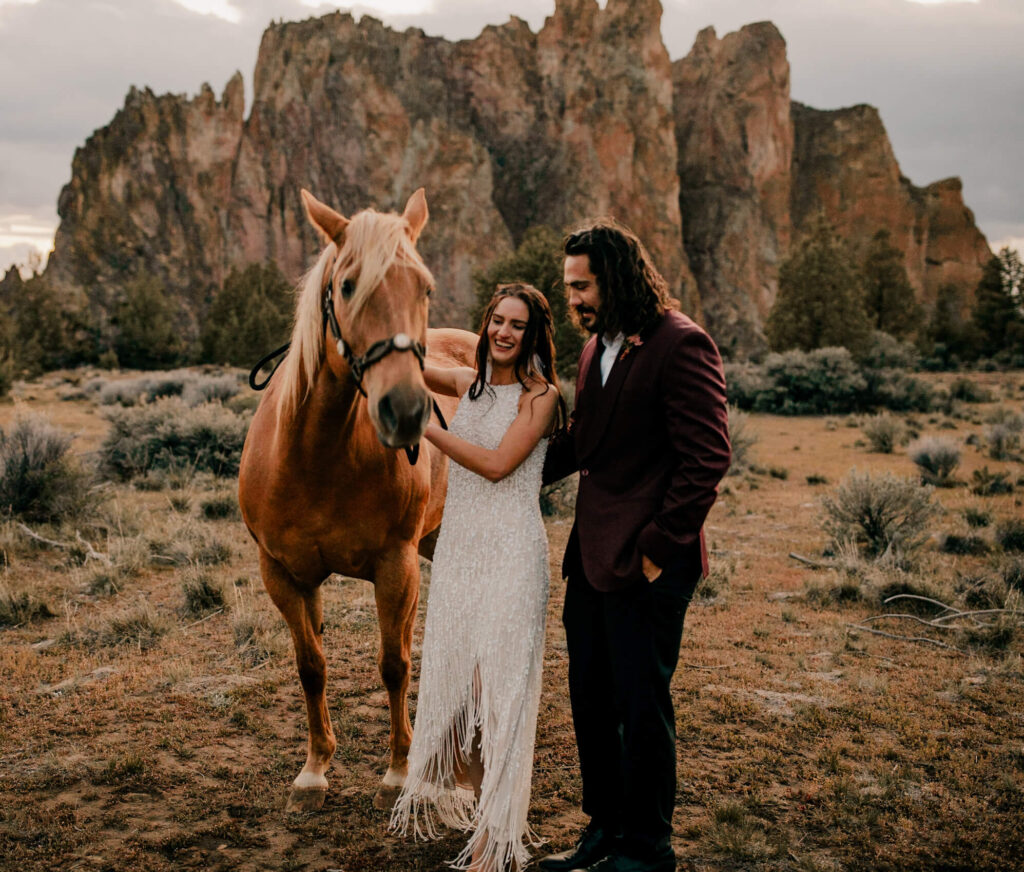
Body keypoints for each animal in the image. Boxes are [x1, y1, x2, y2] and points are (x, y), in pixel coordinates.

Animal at [237, 189, 477, 810]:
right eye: (347, 286)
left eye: (425, 287)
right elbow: (311, 666)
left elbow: (394, 664)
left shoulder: (394, 565)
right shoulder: (283, 574)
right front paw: (314, 768)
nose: (407, 410)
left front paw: (398, 770)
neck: (317, 455)